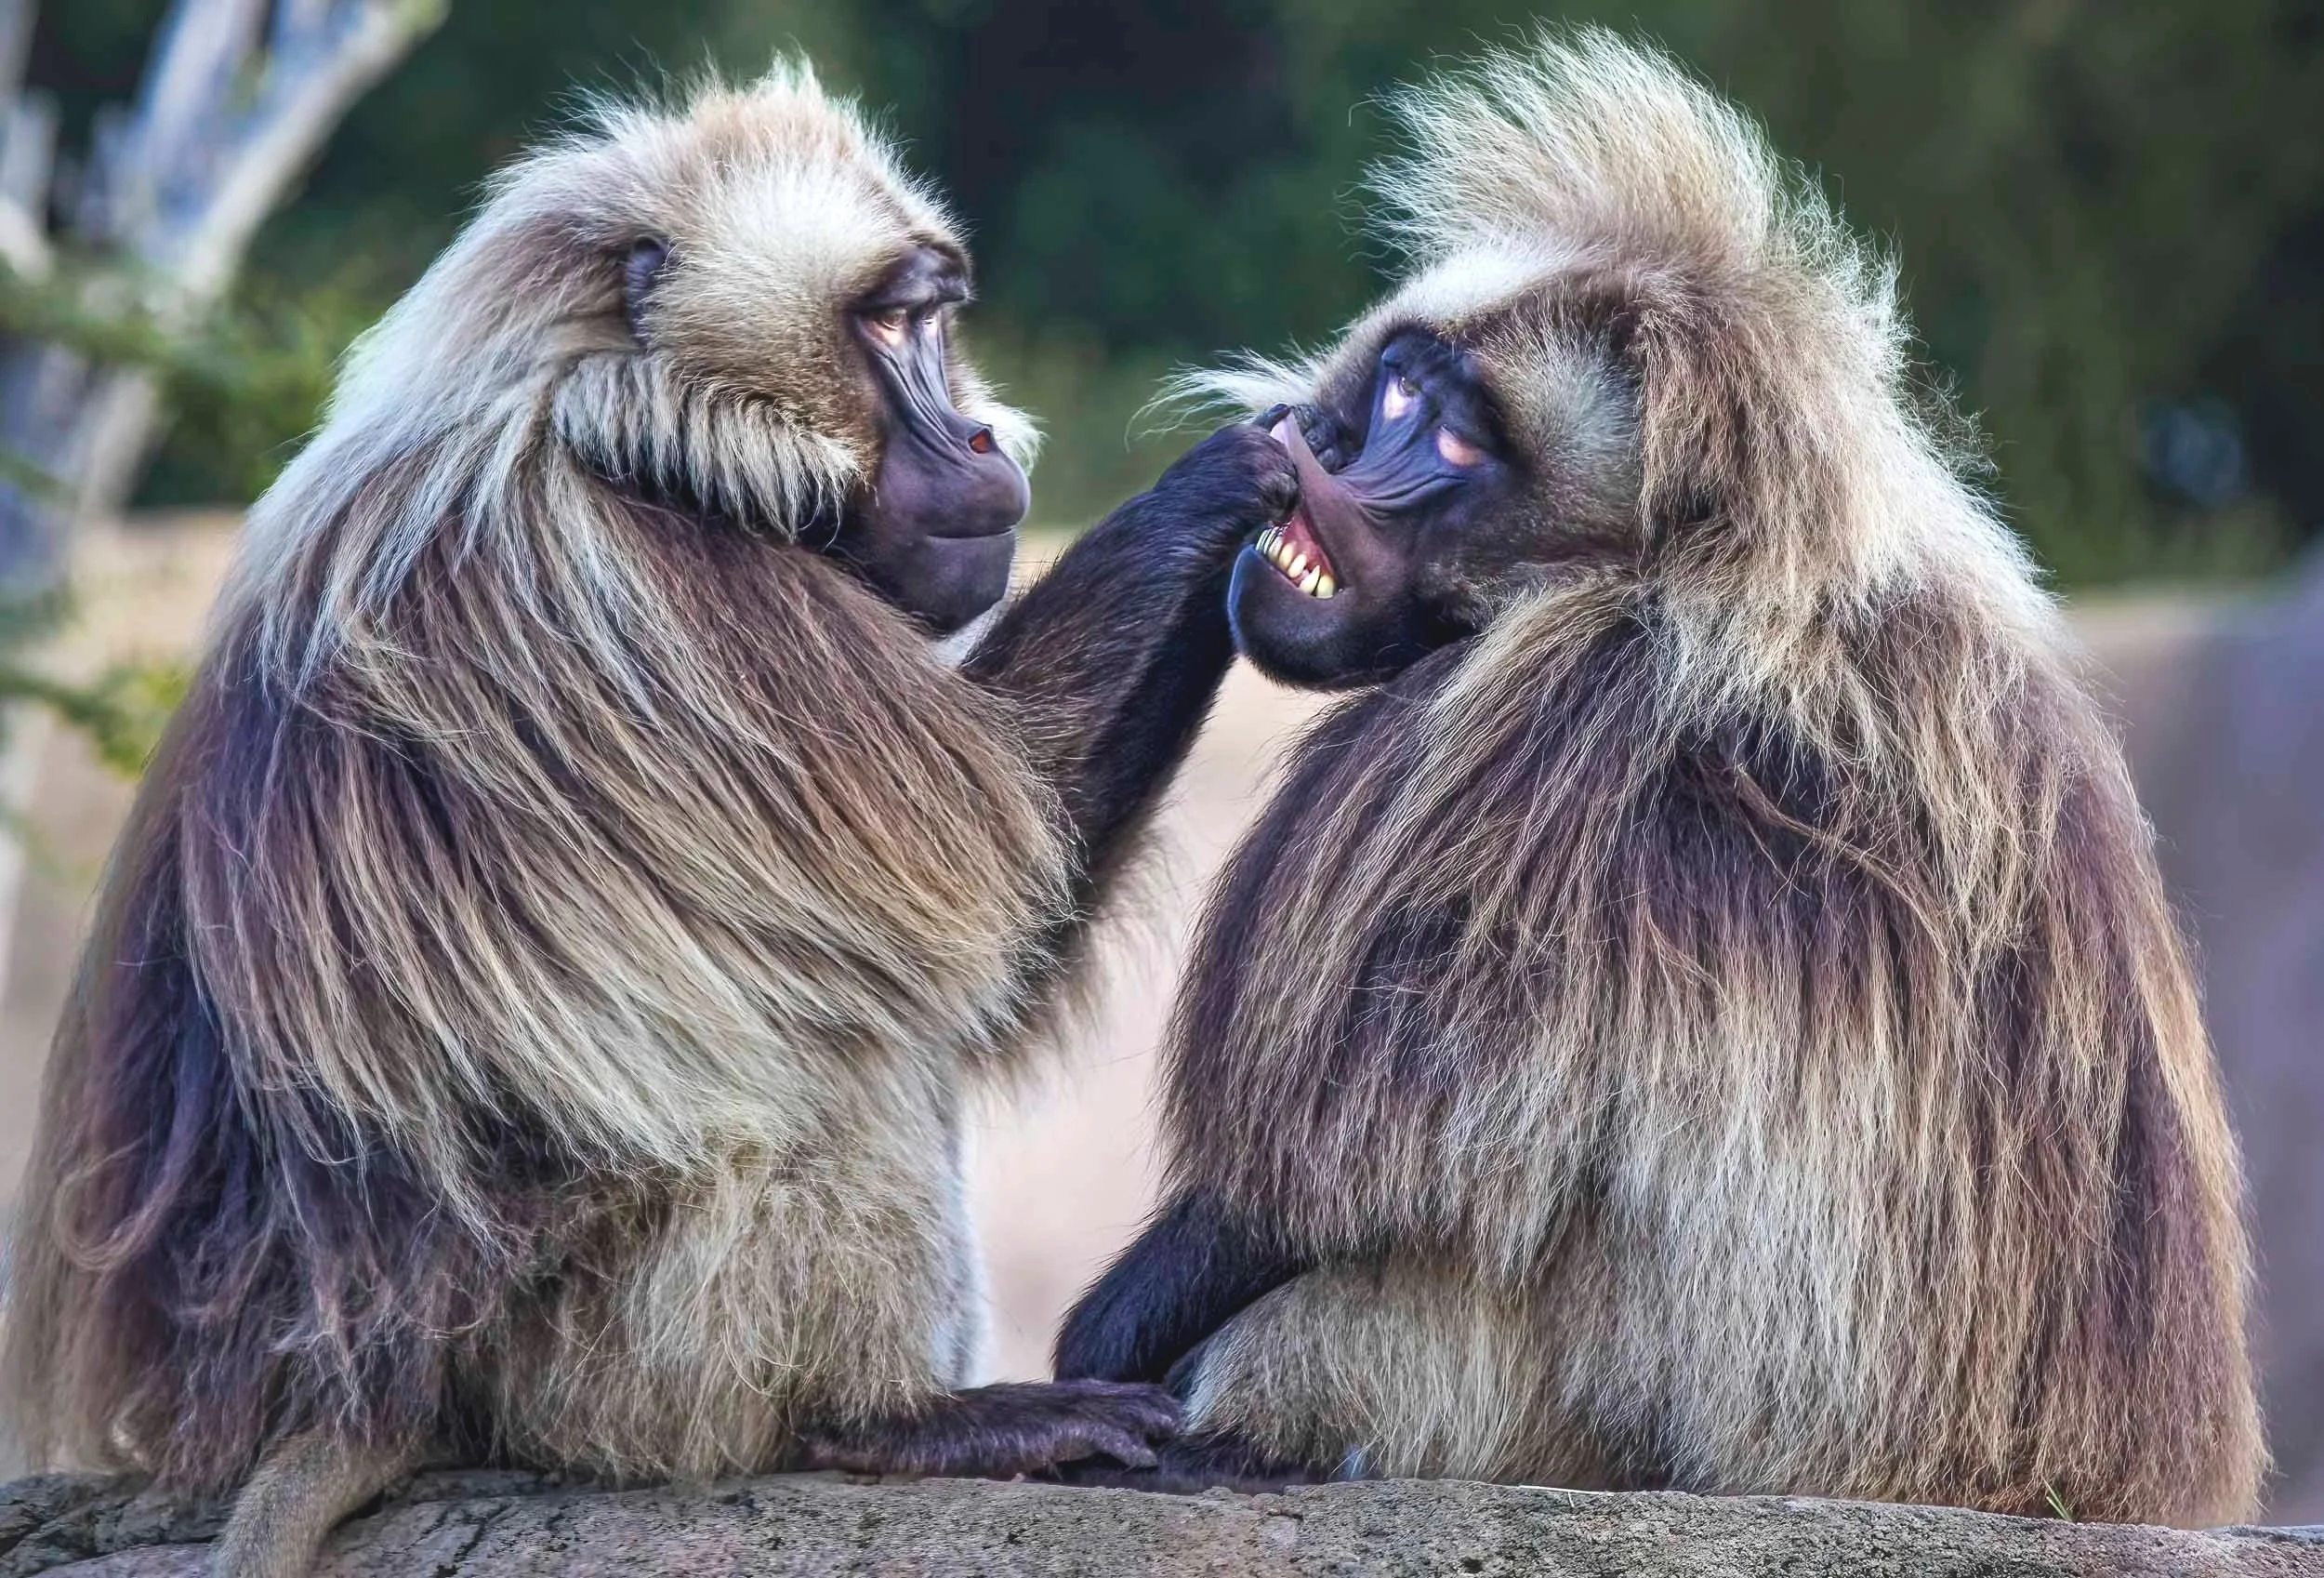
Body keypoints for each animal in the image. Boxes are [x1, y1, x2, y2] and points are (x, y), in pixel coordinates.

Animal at [2, 63, 1295, 1576]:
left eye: (936, 319)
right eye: (887, 324)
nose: (979, 435)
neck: (611, 428)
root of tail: (377, 1389)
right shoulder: (657, 602)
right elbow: (987, 881)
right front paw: (1226, 481)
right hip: (594, 1349)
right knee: (834, 1058)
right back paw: (878, 1423)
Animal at [1055, 32, 2264, 1528]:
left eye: (1463, 444)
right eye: (1402, 385)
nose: (1325, 459)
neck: (1687, 568)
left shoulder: (1511, 732)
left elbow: (1372, 1156)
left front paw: (1111, 1331)